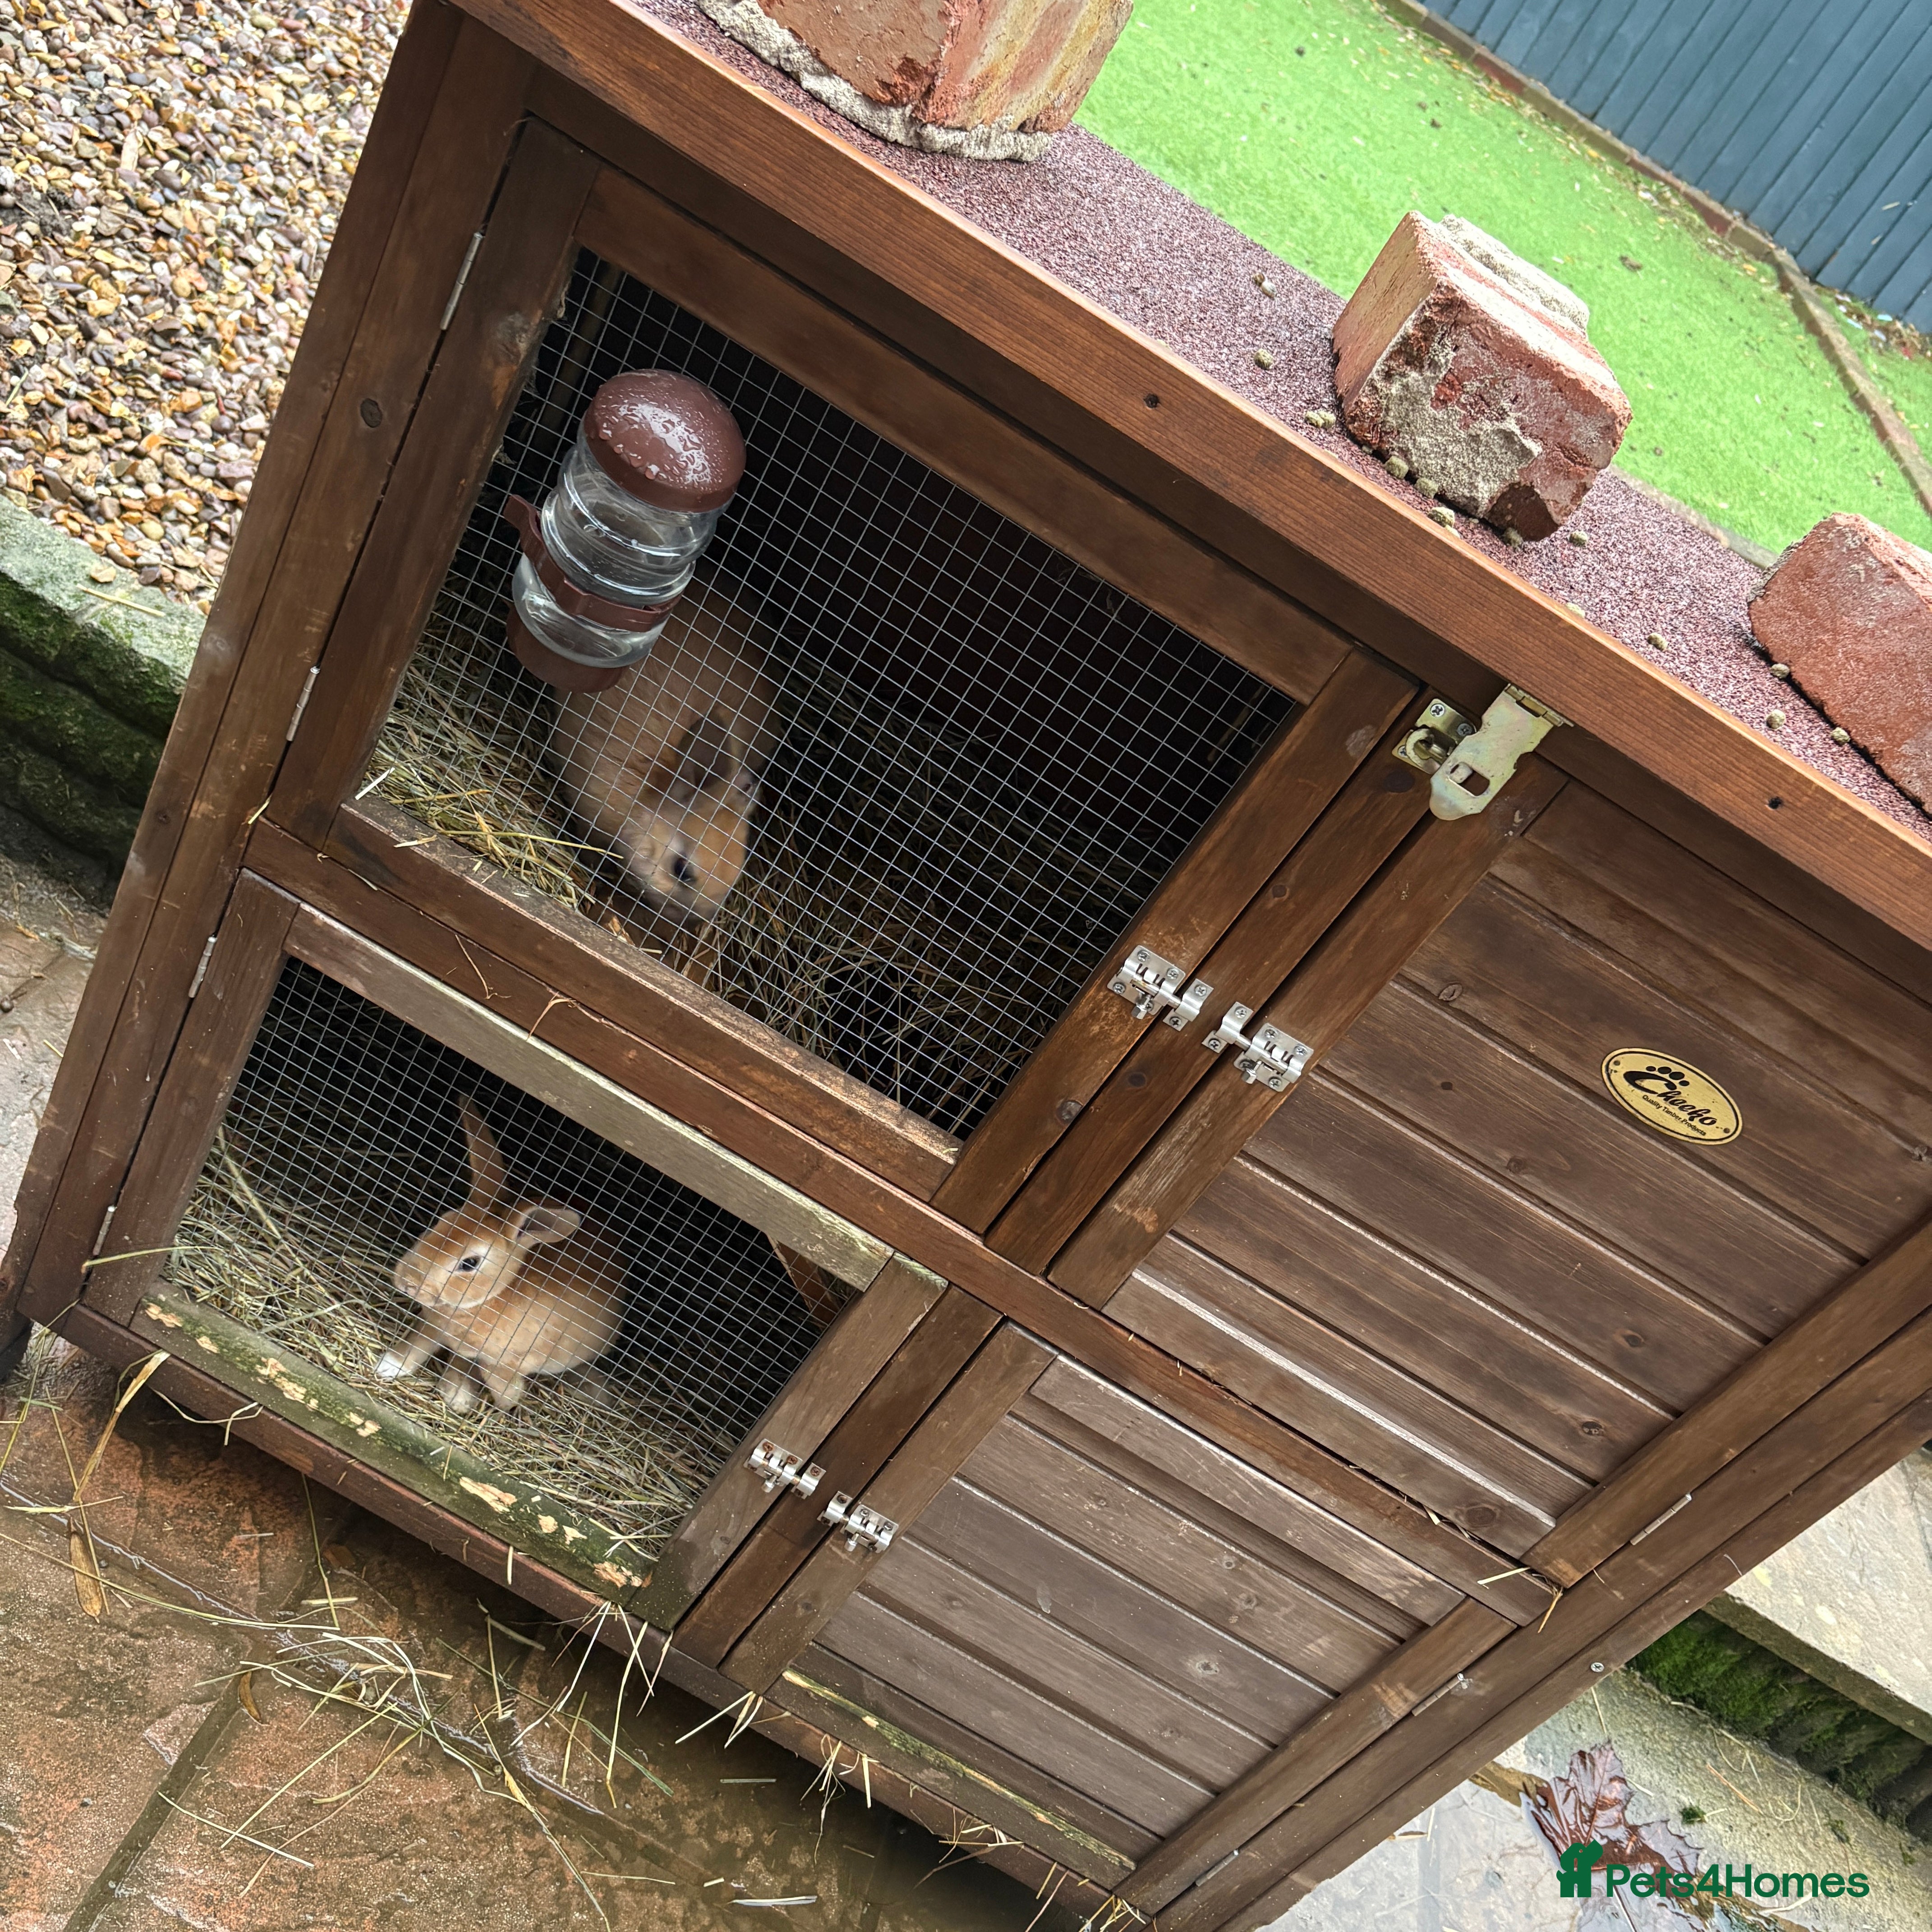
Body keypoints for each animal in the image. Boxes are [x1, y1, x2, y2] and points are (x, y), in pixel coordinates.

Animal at [376, 1096, 625, 1413]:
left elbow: (496, 1381)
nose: (406, 1280)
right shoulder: (435, 1326)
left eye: (470, 1263)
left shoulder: (506, 1360)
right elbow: (418, 1346)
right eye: (442, 1221)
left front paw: (479, 1398)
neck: (489, 1301)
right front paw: (388, 1366)